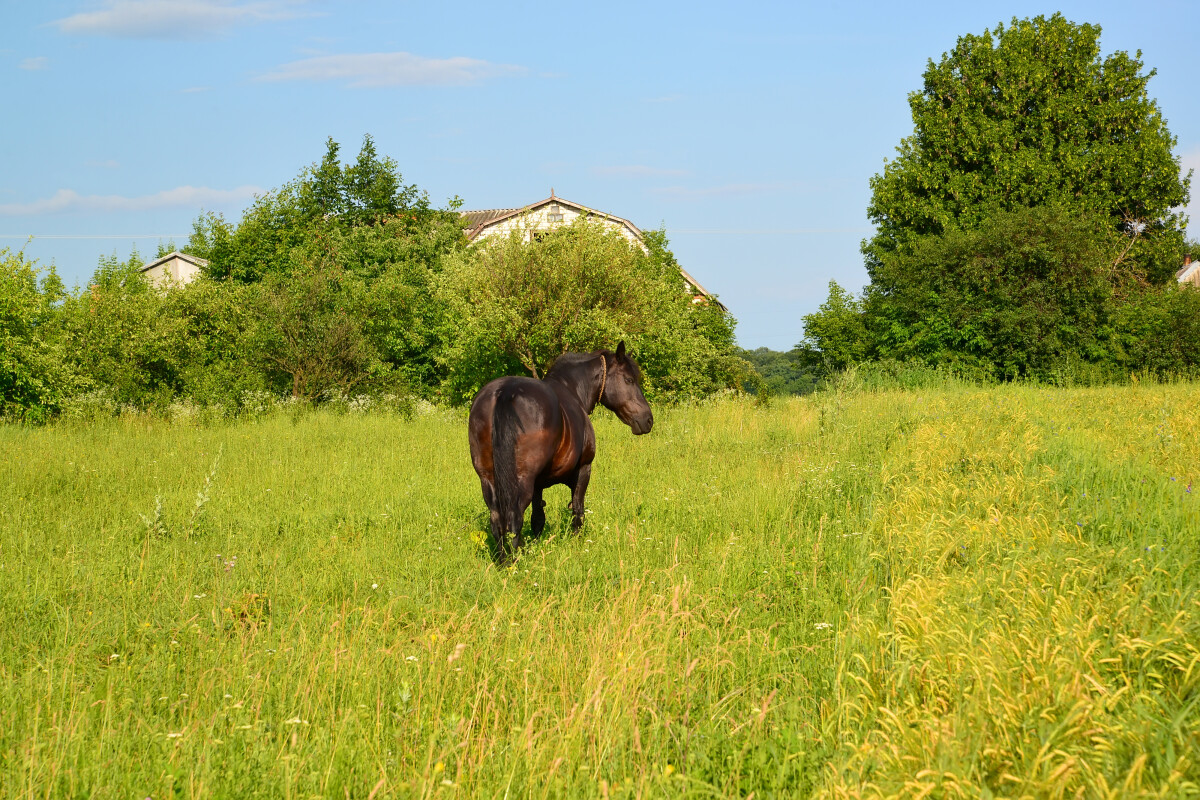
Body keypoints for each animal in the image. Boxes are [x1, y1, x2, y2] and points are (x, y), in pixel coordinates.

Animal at [470, 345, 657, 563]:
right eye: (629, 379)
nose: (647, 419)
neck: (572, 390)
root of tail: (505, 391)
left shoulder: (538, 485)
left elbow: (538, 519)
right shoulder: (583, 470)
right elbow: (578, 510)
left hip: (488, 480)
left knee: (497, 520)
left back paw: (503, 562)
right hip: (522, 481)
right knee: (514, 518)